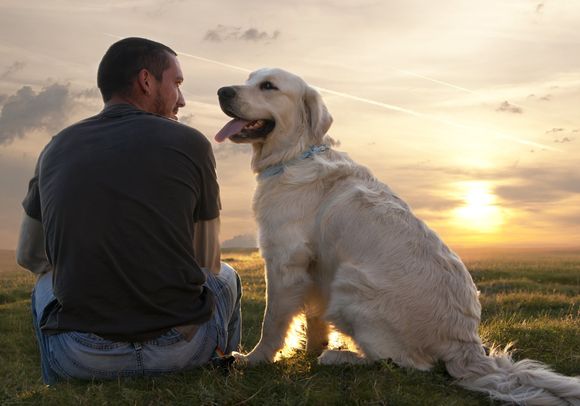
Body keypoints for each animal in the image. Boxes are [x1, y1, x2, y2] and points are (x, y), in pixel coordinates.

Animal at [214, 68, 580, 404]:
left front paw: (255, 359)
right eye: (249, 79)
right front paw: (309, 349)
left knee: (405, 363)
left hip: (350, 283)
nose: (222, 91)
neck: (294, 156)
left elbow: (273, 321)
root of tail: (466, 345)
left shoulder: (284, 260)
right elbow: (314, 318)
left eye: (268, 86)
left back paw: (340, 357)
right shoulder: (315, 267)